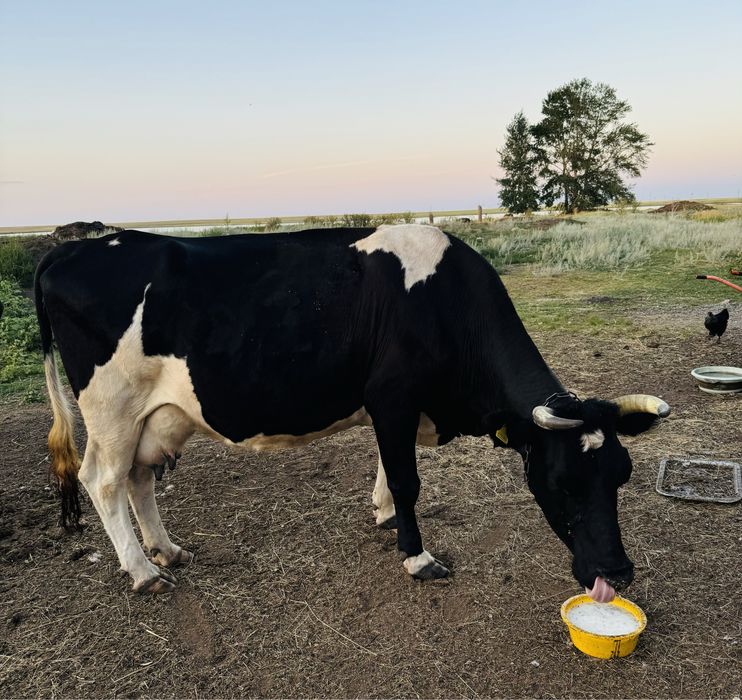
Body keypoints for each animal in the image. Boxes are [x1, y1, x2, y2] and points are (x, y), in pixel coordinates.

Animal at [34, 224, 669, 597]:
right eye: (562, 484)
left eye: (622, 476)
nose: (618, 572)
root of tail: (71, 246)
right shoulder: (392, 395)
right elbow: (409, 478)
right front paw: (417, 556)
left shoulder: (397, 408)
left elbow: (392, 466)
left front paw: (385, 515)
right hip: (111, 406)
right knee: (103, 479)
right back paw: (143, 573)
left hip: (154, 415)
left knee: (139, 478)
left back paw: (166, 550)